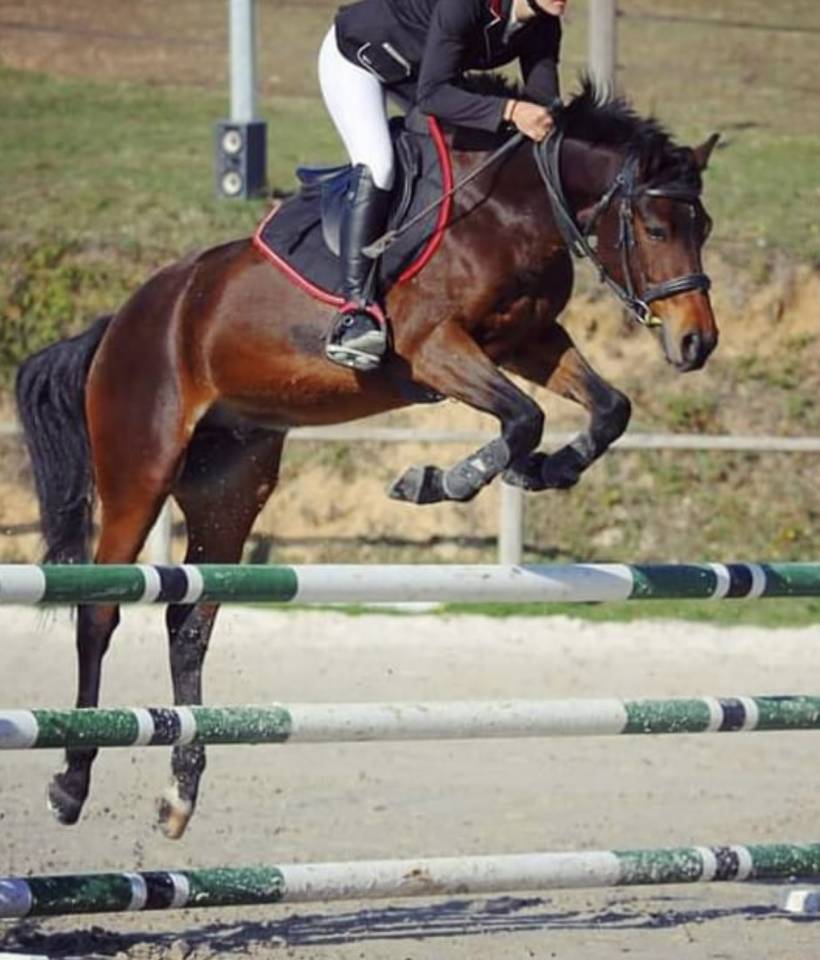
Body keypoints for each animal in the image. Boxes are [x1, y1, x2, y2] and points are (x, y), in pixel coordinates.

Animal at [15, 79, 719, 839]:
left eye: (703, 227)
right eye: (656, 230)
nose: (697, 343)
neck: (513, 206)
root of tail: (118, 322)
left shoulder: (527, 340)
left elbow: (608, 407)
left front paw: (543, 471)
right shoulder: (434, 346)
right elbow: (524, 417)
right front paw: (441, 479)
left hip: (230, 484)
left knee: (190, 623)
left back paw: (181, 792)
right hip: (139, 469)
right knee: (99, 612)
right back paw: (71, 783)